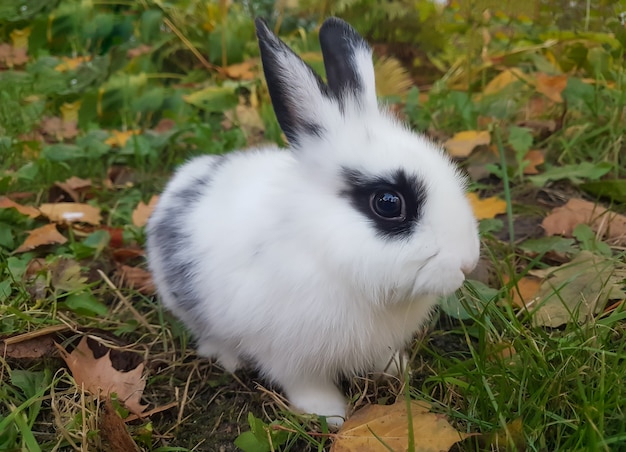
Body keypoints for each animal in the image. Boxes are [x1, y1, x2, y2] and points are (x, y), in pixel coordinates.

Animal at [146, 16, 478, 428]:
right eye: (388, 203)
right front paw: (329, 416)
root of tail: (180, 181)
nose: (468, 262)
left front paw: (400, 370)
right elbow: (305, 384)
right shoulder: (287, 354)